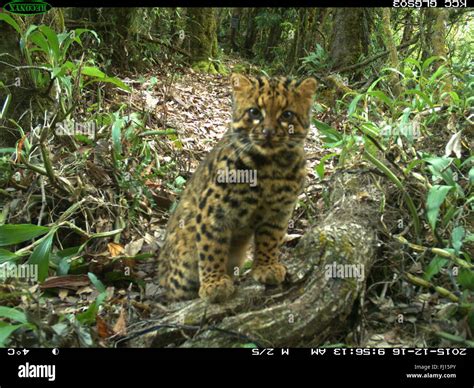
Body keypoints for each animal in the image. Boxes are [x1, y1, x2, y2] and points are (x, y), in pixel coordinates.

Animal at [159, 73, 318, 304]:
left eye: (287, 114)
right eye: (254, 112)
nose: (268, 132)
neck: (270, 167)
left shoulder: (279, 212)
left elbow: (270, 240)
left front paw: (267, 267)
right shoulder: (213, 211)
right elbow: (212, 248)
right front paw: (214, 284)